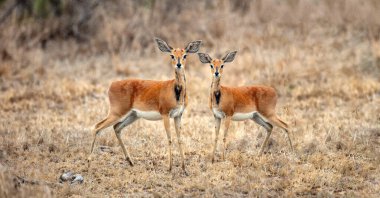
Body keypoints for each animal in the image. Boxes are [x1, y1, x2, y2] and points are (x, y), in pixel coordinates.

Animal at [88, 38, 202, 172]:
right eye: (172, 55)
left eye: (185, 55)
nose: (178, 64)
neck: (176, 90)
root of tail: (112, 84)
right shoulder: (165, 114)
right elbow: (169, 138)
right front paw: (169, 167)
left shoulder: (178, 115)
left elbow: (180, 139)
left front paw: (184, 169)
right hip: (117, 113)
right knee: (97, 127)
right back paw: (89, 161)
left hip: (133, 115)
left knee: (116, 128)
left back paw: (130, 162)